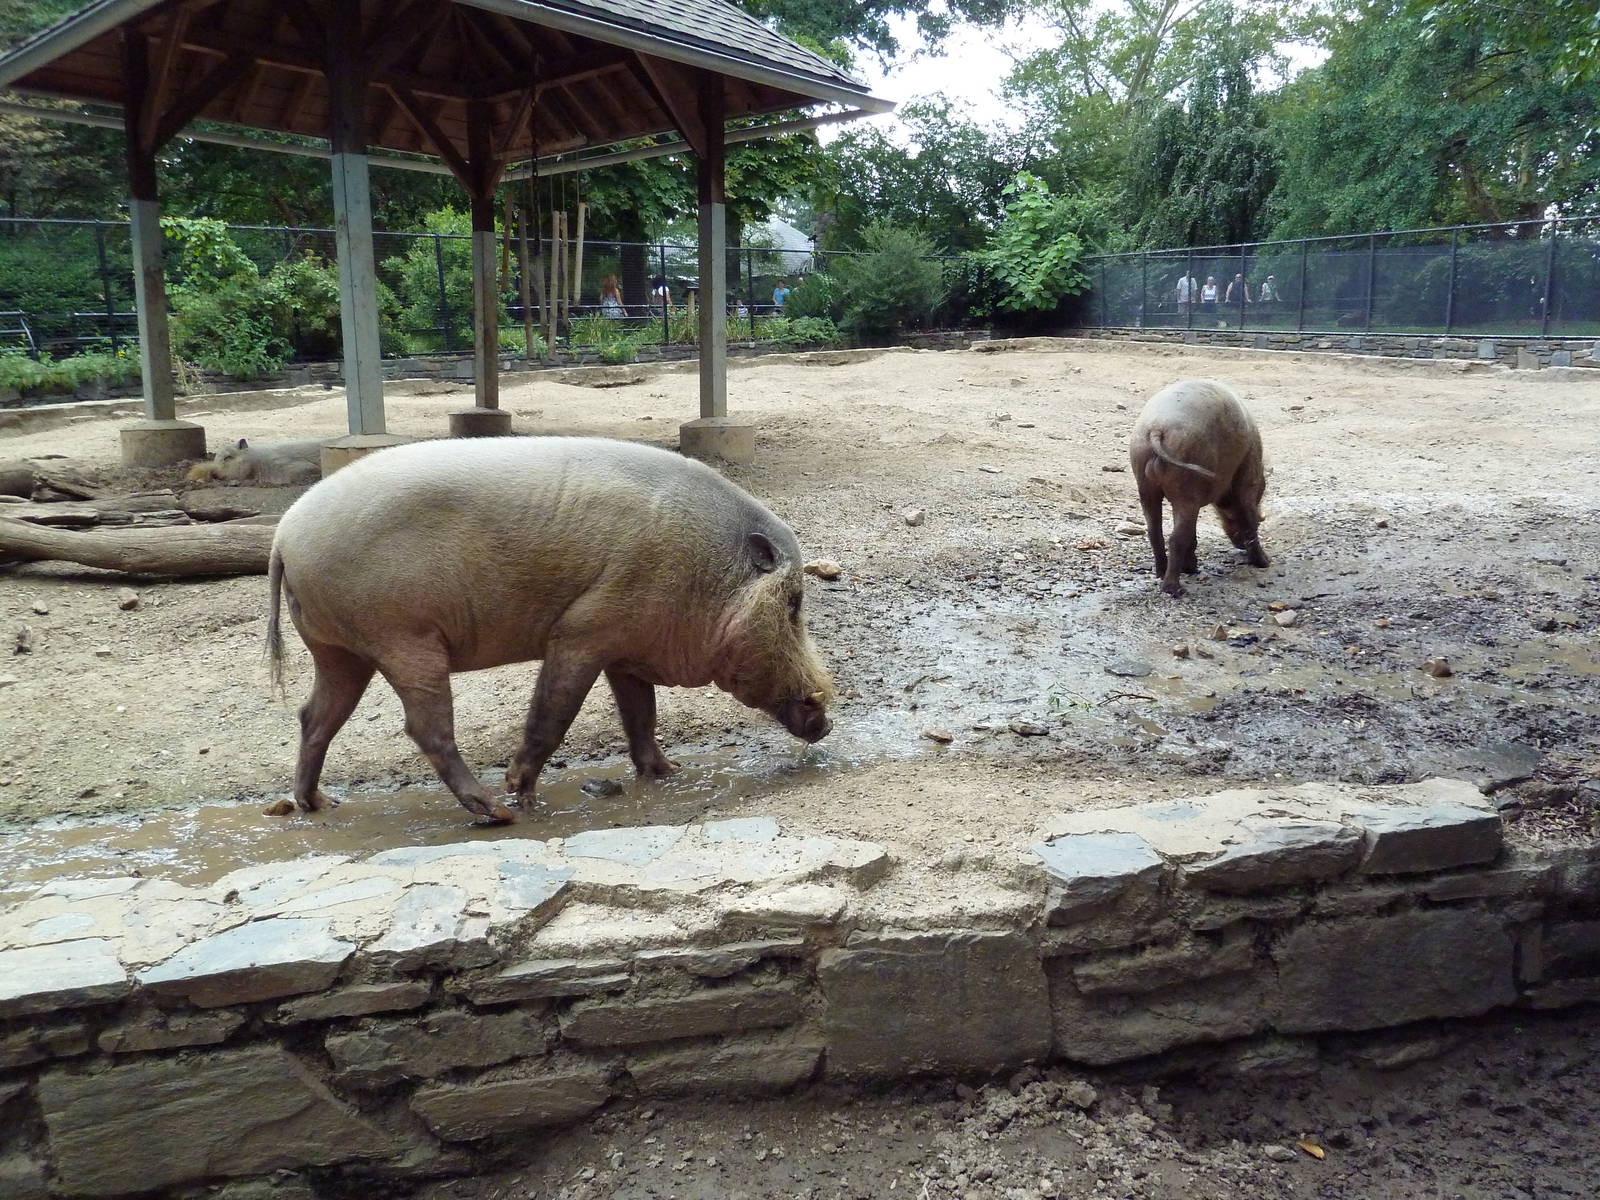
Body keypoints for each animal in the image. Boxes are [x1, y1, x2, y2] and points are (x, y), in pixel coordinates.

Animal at [265, 436, 835, 823]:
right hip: (405, 640)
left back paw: (318, 803)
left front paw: (671, 774)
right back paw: (496, 811)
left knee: (314, 716)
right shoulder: (583, 633)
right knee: (426, 727)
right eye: (794, 603)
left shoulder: (624, 647)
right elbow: (554, 714)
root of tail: (284, 534)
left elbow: (641, 717)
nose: (826, 721)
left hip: (338, 650)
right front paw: (522, 792)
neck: (706, 573)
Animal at [1129, 379, 1269, 598]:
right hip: (1185, 491)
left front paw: (1191, 568)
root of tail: (1156, 430)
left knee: (1155, 531)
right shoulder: (1247, 480)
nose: (1238, 545)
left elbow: (1192, 536)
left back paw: (1162, 572)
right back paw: (1175, 589)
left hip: (1146, 485)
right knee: (1176, 539)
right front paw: (1265, 563)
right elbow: (1248, 519)